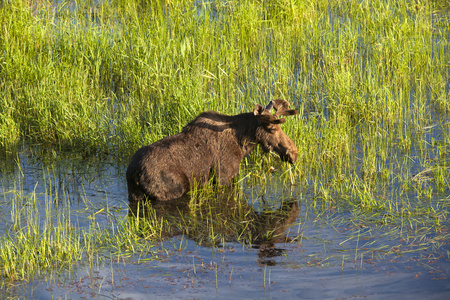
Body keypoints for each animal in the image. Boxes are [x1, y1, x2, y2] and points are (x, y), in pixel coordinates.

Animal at [125, 99, 298, 203]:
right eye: (271, 128)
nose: (294, 153)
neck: (242, 146)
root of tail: (133, 173)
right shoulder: (224, 177)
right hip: (171, 191)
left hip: (135, 195)